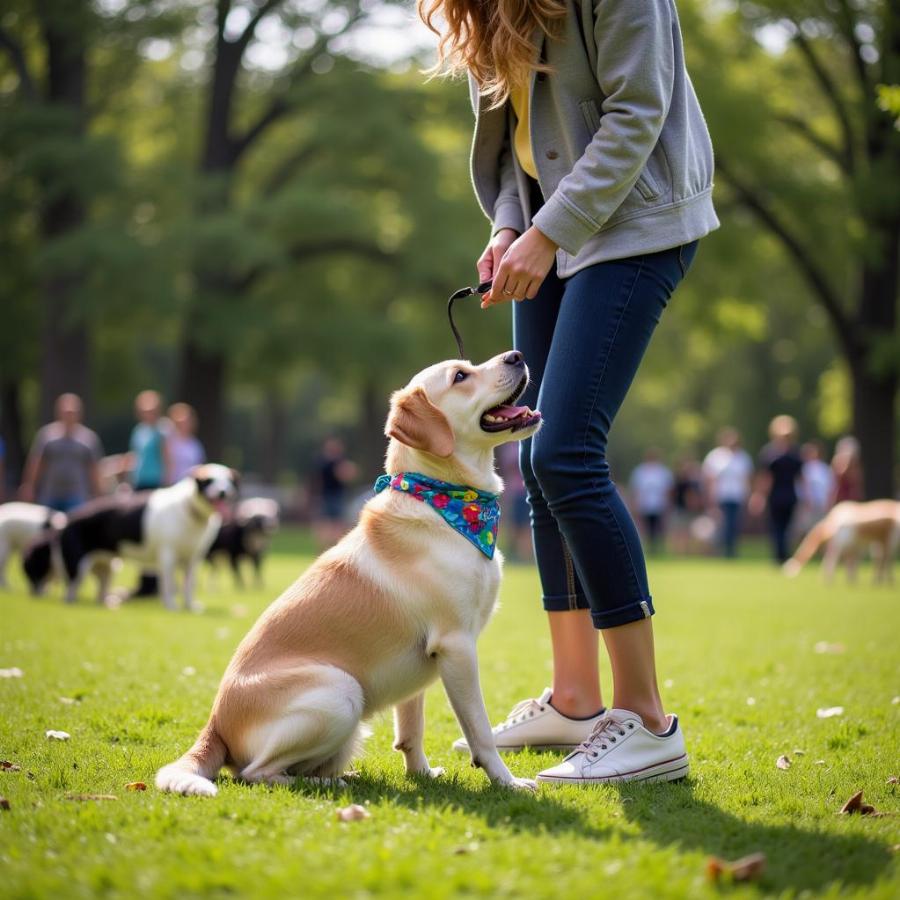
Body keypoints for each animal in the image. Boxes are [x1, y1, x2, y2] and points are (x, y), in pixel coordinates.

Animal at [23, 464, 239, 612]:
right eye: (209, 480)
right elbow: (169, 586)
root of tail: (66, 519)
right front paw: (171, 606)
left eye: (229, 480)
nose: (223, 492)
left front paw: (190, 606)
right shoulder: (167, 556)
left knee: (100, 590)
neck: (190, 511)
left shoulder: (192, 559)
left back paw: (107, 603)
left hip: (106, 566)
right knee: (70, 591)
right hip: (76, 565)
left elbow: (188, 586)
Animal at [156, 352, 540, 796]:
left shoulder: (426, 663)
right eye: (461, 376)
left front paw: (422, 775)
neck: (443, 500)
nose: (516, 355)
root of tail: (214, 725)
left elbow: (411, 731)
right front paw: (507, 782)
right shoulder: (457, 647)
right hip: (341, 692)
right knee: (255, 773)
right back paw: (332, 784)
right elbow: (480, 730)